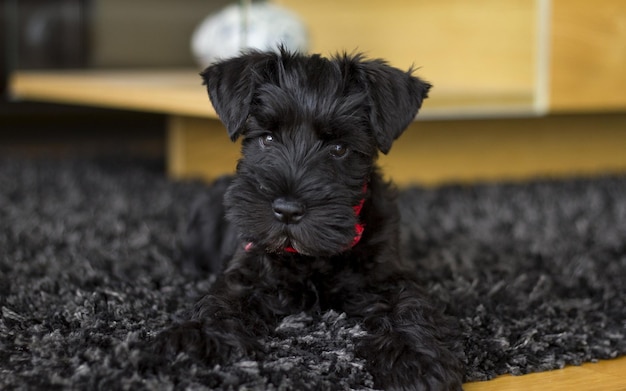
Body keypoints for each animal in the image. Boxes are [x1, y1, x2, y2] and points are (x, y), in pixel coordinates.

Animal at [158, 49, 460, 391]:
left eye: (339, 148)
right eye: (268, 138)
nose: (287, 209)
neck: (311, 258)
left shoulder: (388, 276)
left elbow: (408, 305)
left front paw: (412, 357)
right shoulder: (247, 272)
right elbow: (219, 302)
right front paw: (197, 338)